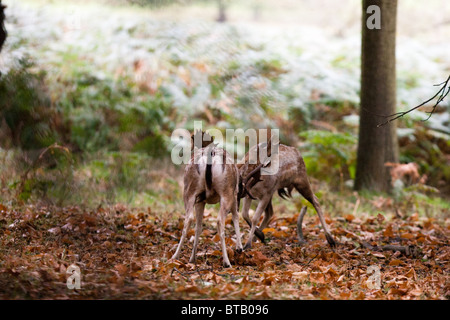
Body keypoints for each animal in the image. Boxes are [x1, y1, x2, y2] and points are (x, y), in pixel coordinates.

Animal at [171, 131, 260, 268]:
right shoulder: (234, 195)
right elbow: (235, 217)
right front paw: (239, 248)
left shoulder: (200, 201)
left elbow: (198, 227)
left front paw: (192, 258)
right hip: (226, 192)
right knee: (219, 221)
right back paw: (227, 261)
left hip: (189, 190)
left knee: (188, 220)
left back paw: (175, 257)